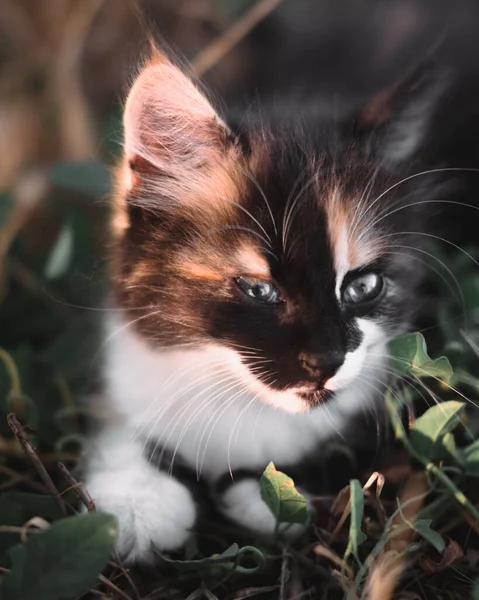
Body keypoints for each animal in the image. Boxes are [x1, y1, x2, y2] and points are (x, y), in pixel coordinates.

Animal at [85, 49, 454, 564]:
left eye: (363, 286)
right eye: (259, 290)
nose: (326, 360)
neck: (239, 402)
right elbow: (123, 424)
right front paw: (137, 499)